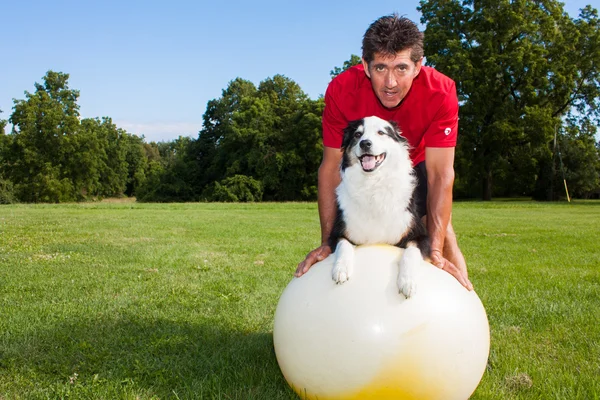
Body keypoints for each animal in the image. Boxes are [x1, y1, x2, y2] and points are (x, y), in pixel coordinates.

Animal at [328, 115, 432, 296]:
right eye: (357, 134)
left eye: (381, 132)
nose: (365, 143)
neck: (373, 184)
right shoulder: (337, 233)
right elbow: (344, 245)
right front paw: (341, 269)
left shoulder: (421, 236)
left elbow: (411, 253)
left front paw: (407, 281)